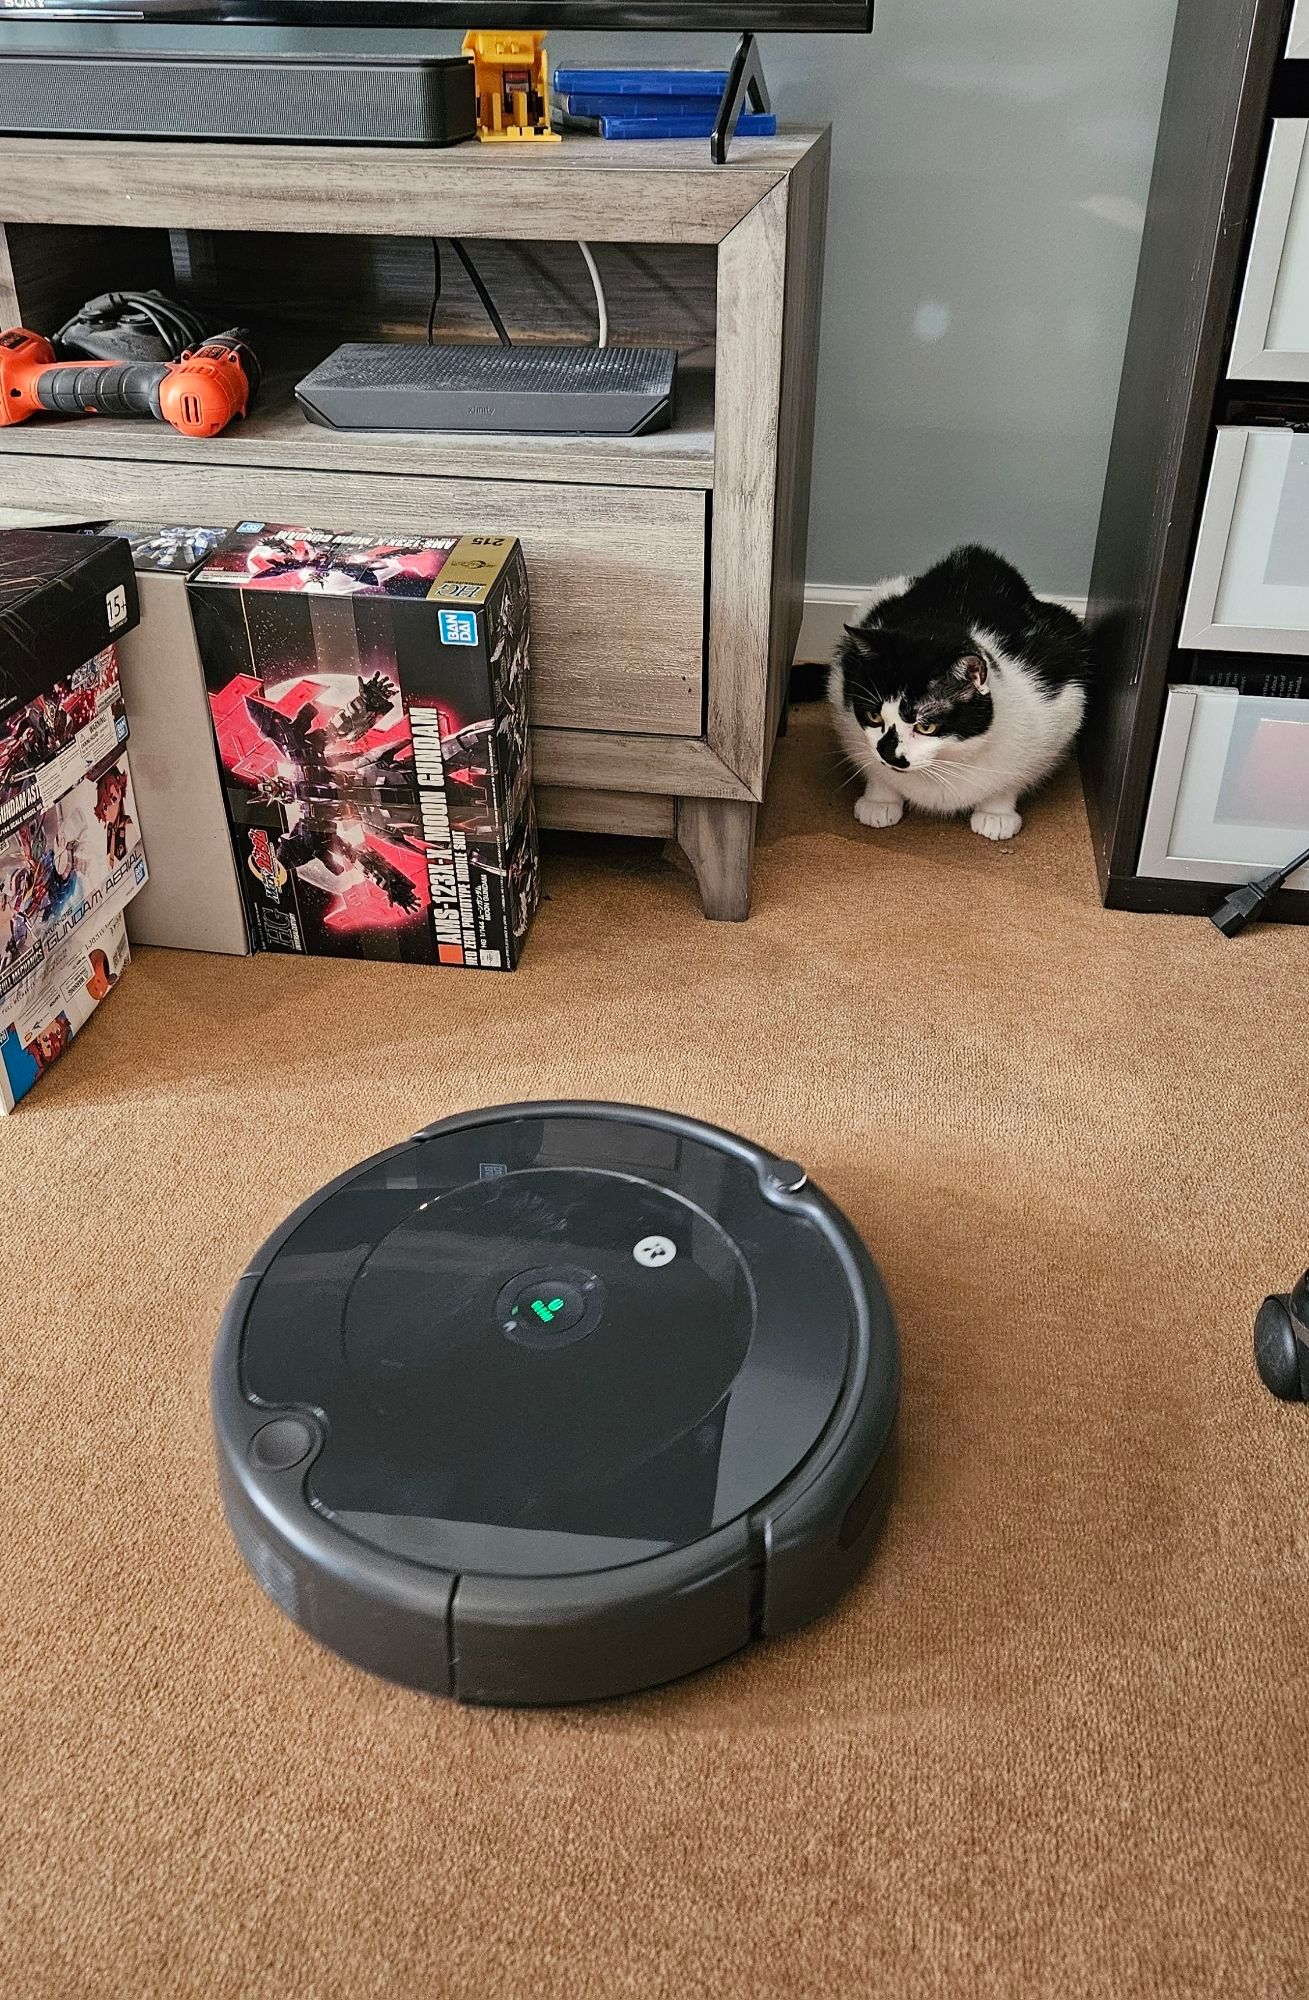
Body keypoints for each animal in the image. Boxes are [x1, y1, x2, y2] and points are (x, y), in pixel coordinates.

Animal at [832, 544, 1096, 840]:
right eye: (874, 717)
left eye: (926, 726)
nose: (889, 754)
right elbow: (873, 769)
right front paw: (879, 801)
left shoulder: (1058, 709)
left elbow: (1011, 780)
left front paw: (996, 815)